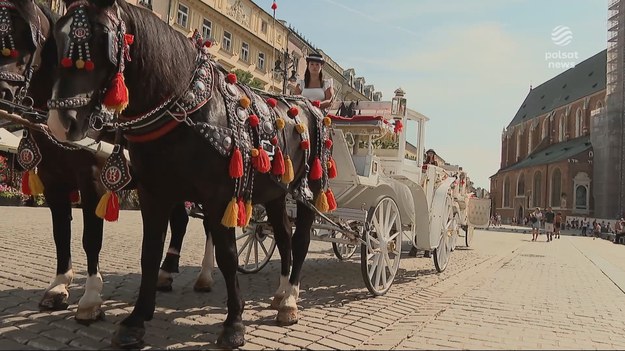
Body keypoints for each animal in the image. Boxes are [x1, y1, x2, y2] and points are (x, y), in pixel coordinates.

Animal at [0, 0, 211, 326]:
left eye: (24, 36)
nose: (1, 91)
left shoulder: (93, 180)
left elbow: (91, 237)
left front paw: (90, 299)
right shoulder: (53, 180)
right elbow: (60, 232)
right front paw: (59, 286)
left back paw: (205, 275)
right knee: (181, 220)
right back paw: (165, 273)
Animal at [47, 0, 336, 348]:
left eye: (104, 37)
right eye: (56, 38)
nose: (61, 122)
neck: (186, 109)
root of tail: (309, 105)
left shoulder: (219, 197)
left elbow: (227, 257)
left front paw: (233, 323)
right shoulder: (154, 194)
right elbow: (149, 253)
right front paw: (136, 320)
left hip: (309, 191)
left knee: (302, 240)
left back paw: (291, 300)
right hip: (277, 193)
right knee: (283, 236)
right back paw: (280, 294)